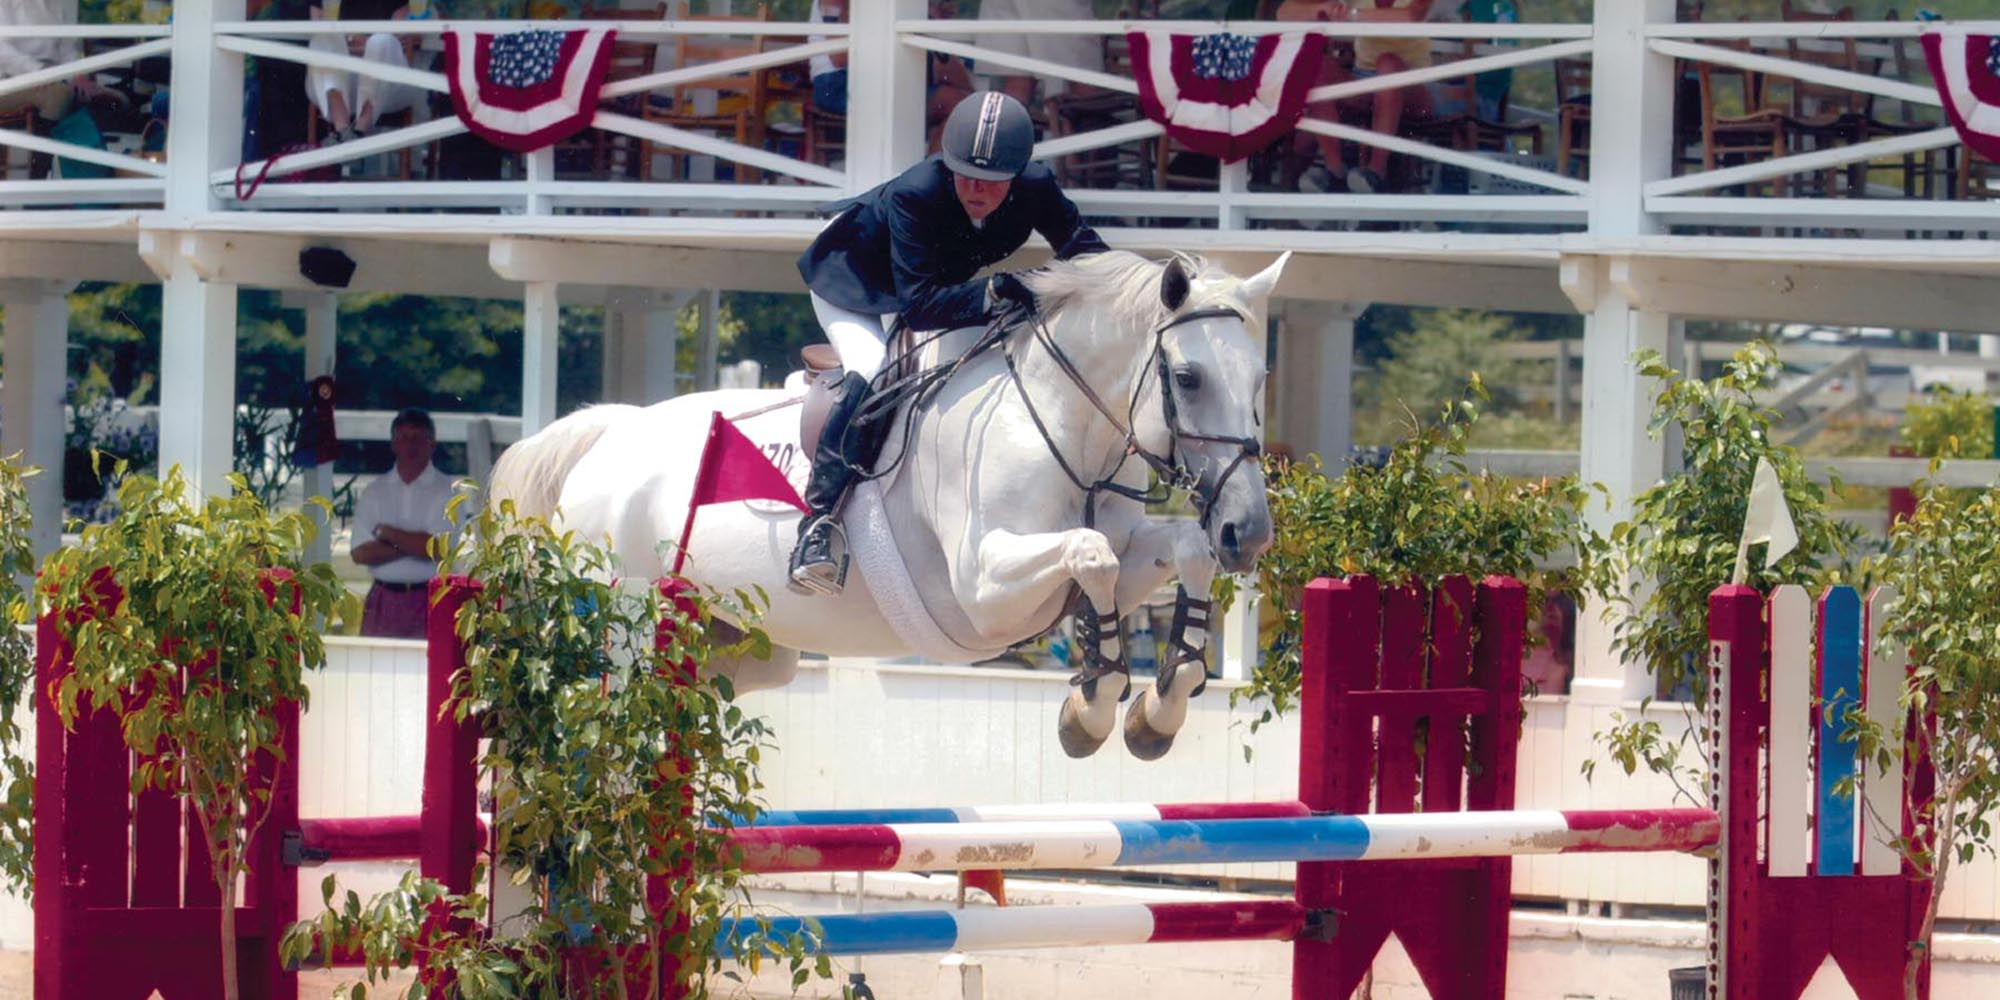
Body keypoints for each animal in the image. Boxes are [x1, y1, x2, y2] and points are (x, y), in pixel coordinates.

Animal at [492, 250, 1288, 756]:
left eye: (1260, 379)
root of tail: (605, 435)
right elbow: (1089, 558)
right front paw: (1091, 708)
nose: (1248, 532)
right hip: (623, 616)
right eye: (1186, 378)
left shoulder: (1120, 554)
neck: (1063, 423)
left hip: (741, 644)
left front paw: (1161, 704)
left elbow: (1174, 553)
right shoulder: (983, 592)